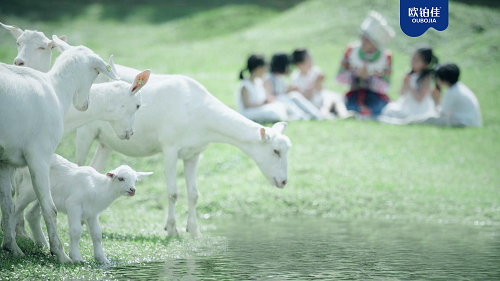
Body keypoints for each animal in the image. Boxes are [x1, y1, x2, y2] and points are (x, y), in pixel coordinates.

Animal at [0, 36, 118, 262]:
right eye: (96, 72)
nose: (85, 104)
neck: (56, 88)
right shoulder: (39, 155)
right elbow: (50, 208)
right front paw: (61, 255)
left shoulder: (5, 161)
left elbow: (7, 204)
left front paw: (12, 248)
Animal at [14, 154, 152, 264]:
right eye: (121, 178)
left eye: (135, 180)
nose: (132, 190)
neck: (99, 187)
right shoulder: (73, 205)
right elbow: (76, 231)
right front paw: (76, 257)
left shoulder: (92, 213)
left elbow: (97, 234)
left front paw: (102, 259)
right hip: (29, 189)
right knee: (16, 208)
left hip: (42, 194)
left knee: (32, 214)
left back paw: (43, 244)